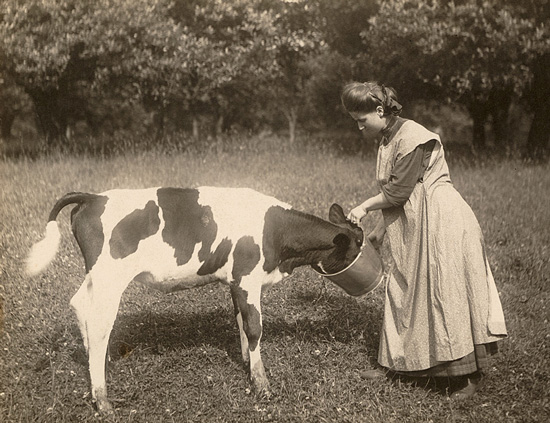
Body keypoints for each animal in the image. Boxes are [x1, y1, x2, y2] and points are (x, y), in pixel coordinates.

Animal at [25, 187, 364, 416]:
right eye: (359, 243)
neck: (276, 232)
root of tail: (93, 197)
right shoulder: (248, 277)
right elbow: (254, 327)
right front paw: (262, 384)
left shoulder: (235, 281)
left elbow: (240, 321)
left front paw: (246, 363)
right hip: (110, 277)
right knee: (98, 323)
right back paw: (103, 399)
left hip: (97, 278)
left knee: (80, 306)